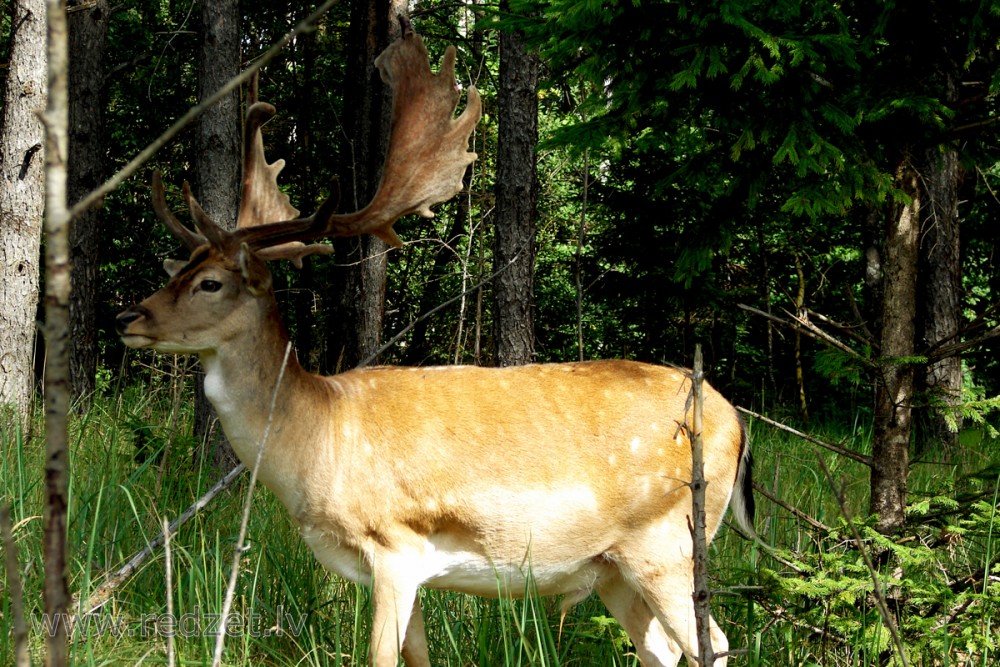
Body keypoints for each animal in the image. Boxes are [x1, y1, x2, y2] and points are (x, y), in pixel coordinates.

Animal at [117, 26, 752, 667]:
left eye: (210, 282)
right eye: (178, 269)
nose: (127, 317)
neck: (318, 435)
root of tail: (738, 423)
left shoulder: (395, 543)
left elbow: (379, 656)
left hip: (668, 540)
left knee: (715, 642)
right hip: (614, 568)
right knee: (663, 650)